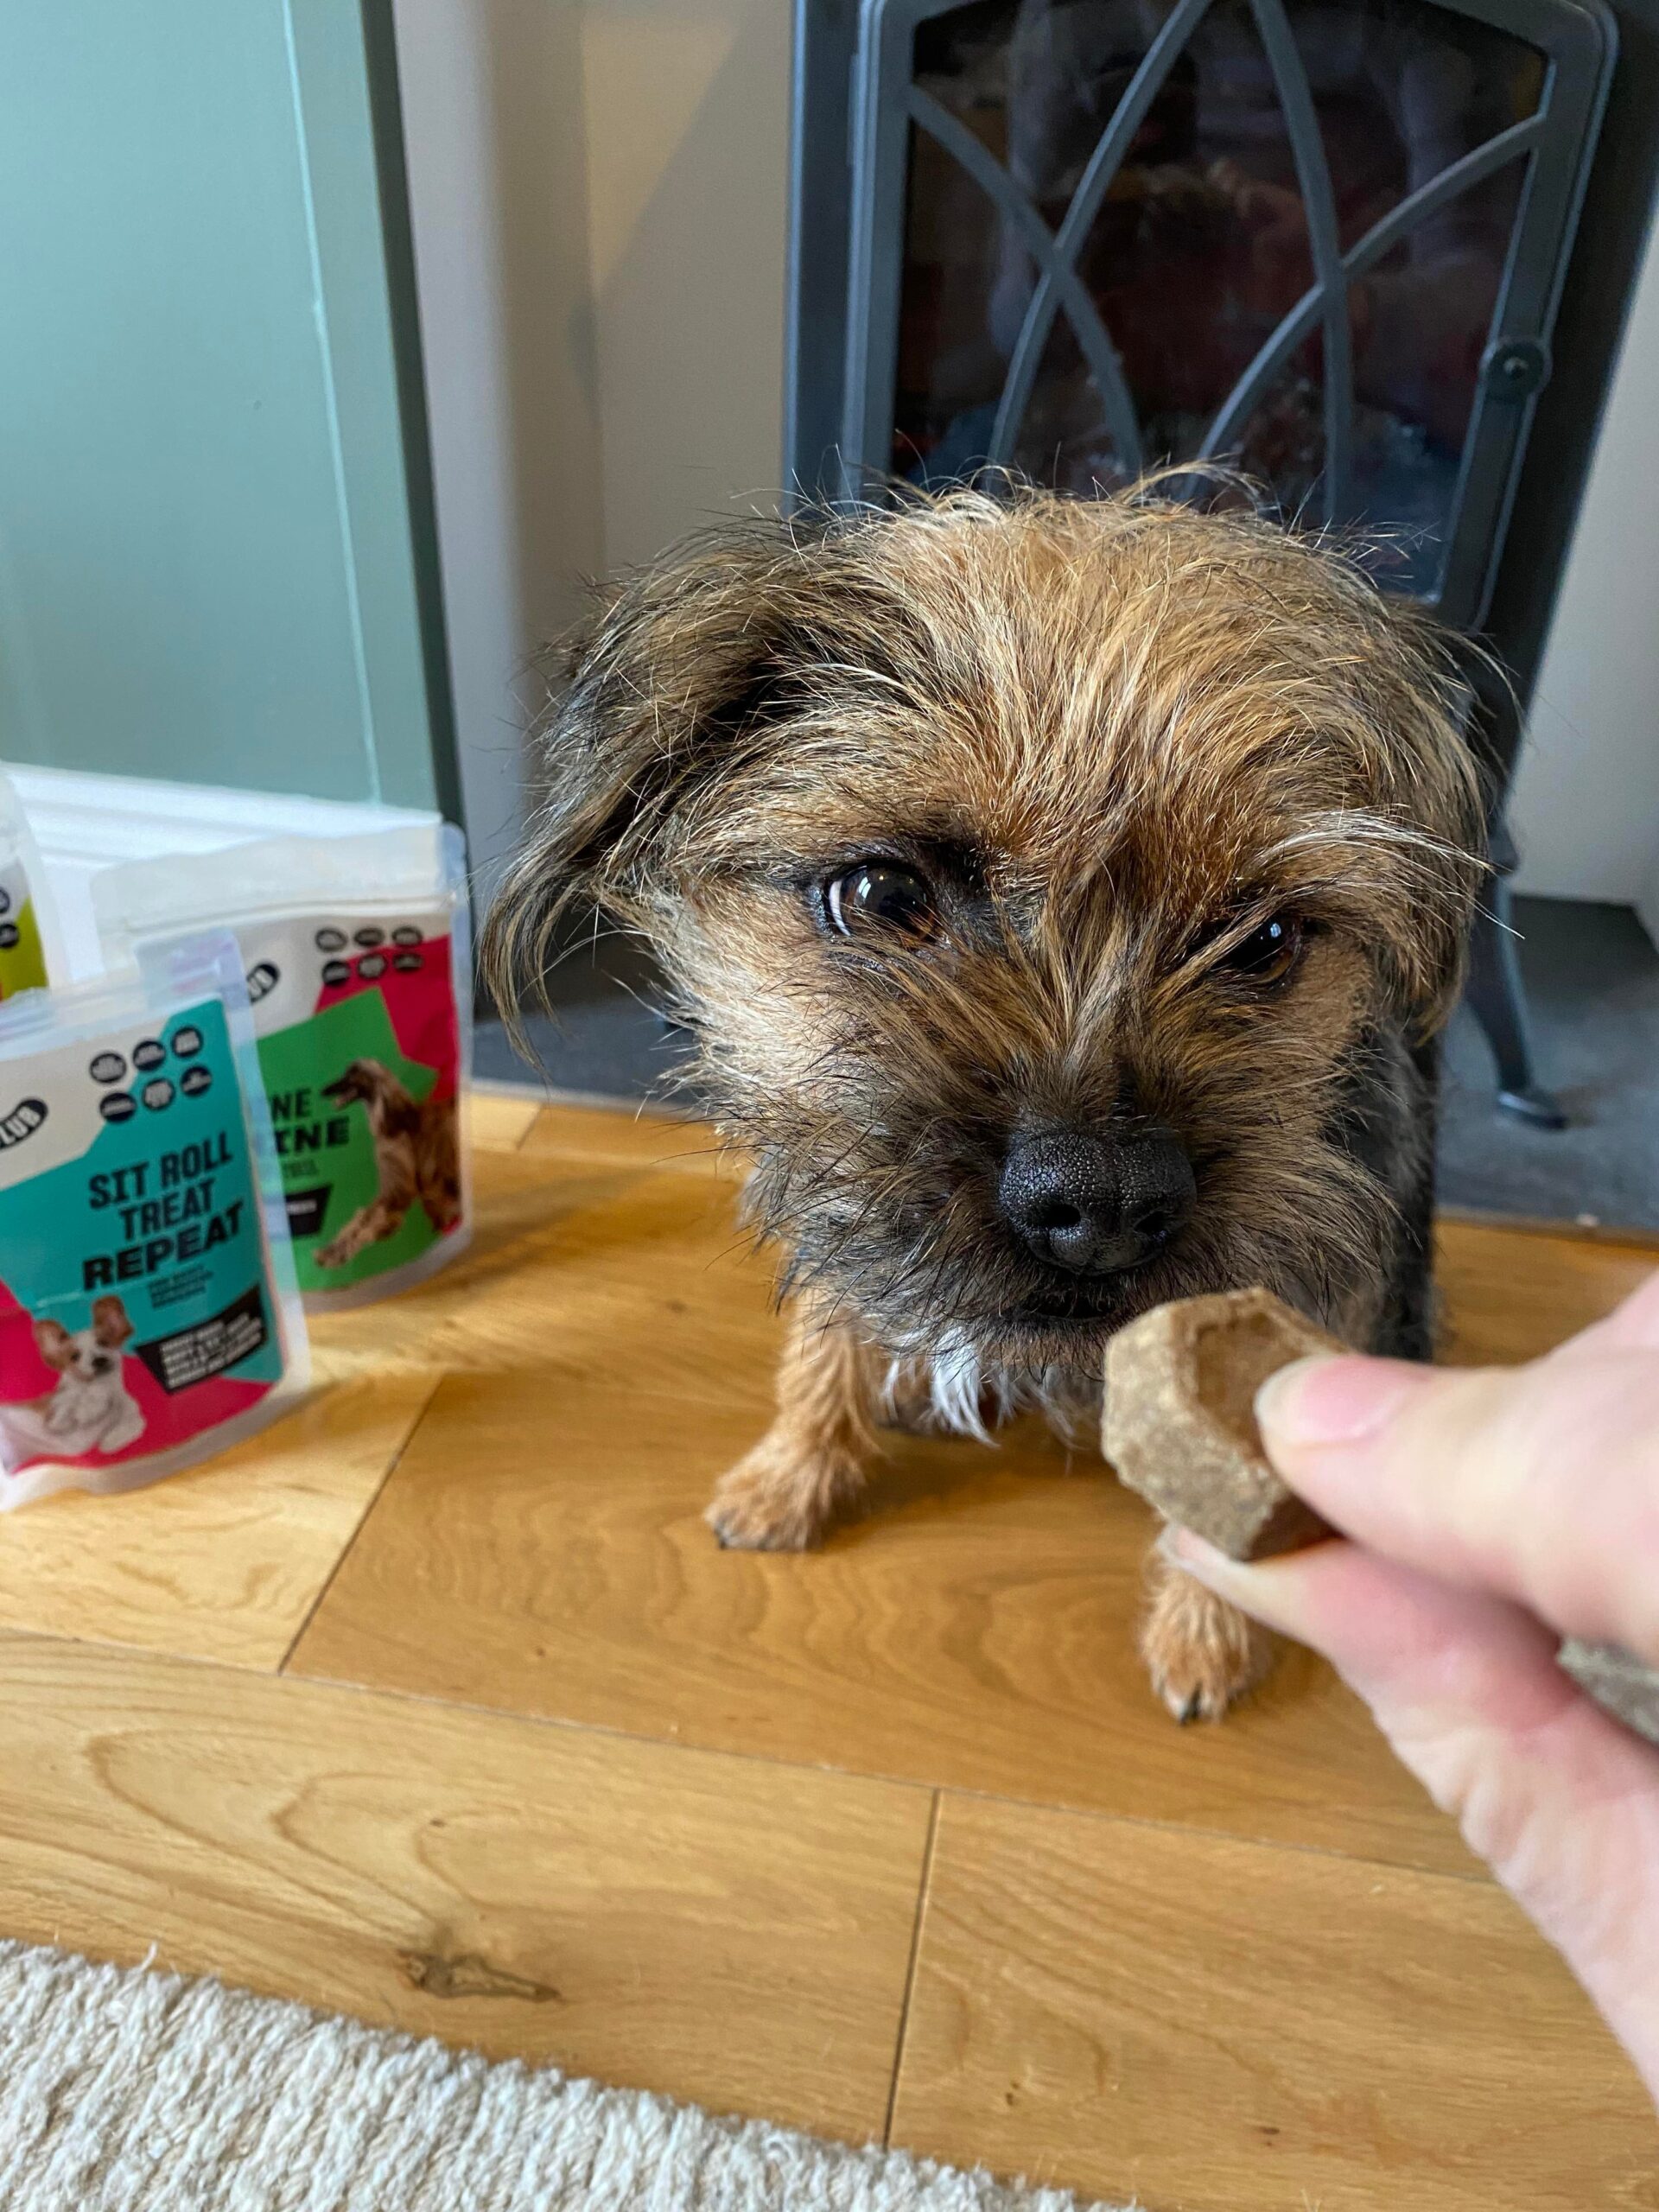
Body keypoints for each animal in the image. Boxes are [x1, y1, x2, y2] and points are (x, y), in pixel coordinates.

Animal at [486, 493, 1486, 1716]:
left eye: (1267, 941)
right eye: (880, 894)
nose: (1105, 1201)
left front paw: (1204, 1636)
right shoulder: (847, 1200)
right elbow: (824, 1333)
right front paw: (788, 1477)